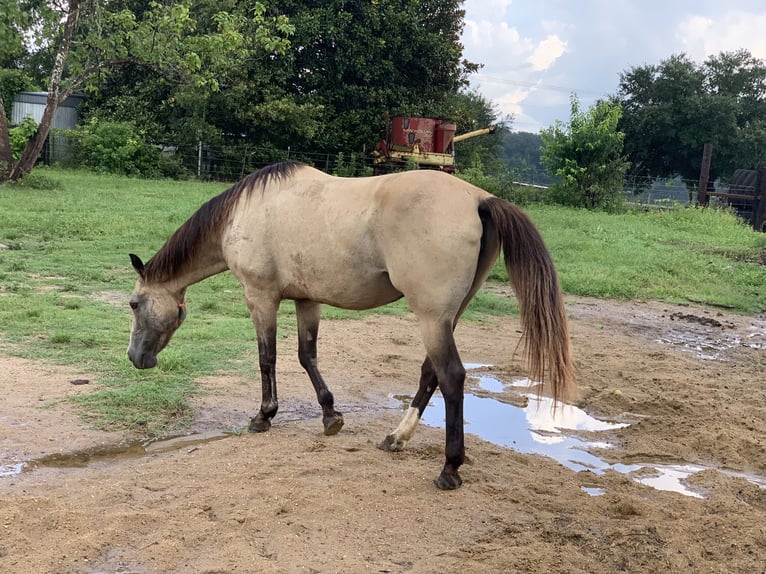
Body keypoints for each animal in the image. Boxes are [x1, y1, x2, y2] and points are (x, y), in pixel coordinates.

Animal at [129, 162, 576, 490]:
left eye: (134, 304)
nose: (136, 358)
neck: (243, 214)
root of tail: (480, 199)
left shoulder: (260, 297)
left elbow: (267, 358)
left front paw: (264, 416)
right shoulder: (306, 300)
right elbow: (306, 356)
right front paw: (330, 416)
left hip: (431, 317)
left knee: (450, 376)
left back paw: (449, 468)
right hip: (447, 316)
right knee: (430, 372)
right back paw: (396, 438)